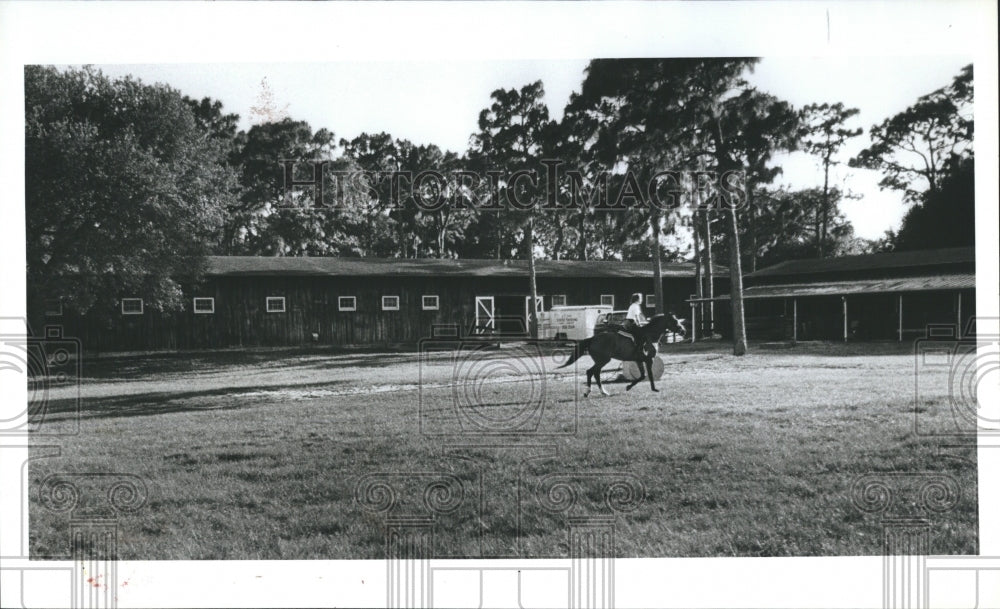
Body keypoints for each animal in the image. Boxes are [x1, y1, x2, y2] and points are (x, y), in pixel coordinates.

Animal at [556, 314, 688, 394]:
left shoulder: (639, 360)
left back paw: (601, 392)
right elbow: (648, 375)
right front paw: (653, 388)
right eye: (675, 321)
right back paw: (592, 392)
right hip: (603, 360)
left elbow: (642, 376)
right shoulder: (648, 360)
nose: (683, 331)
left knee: (595, 373)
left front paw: (630, 386)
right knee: (592, 372)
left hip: (601, 361)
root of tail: (593, 338)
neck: (649, 335)